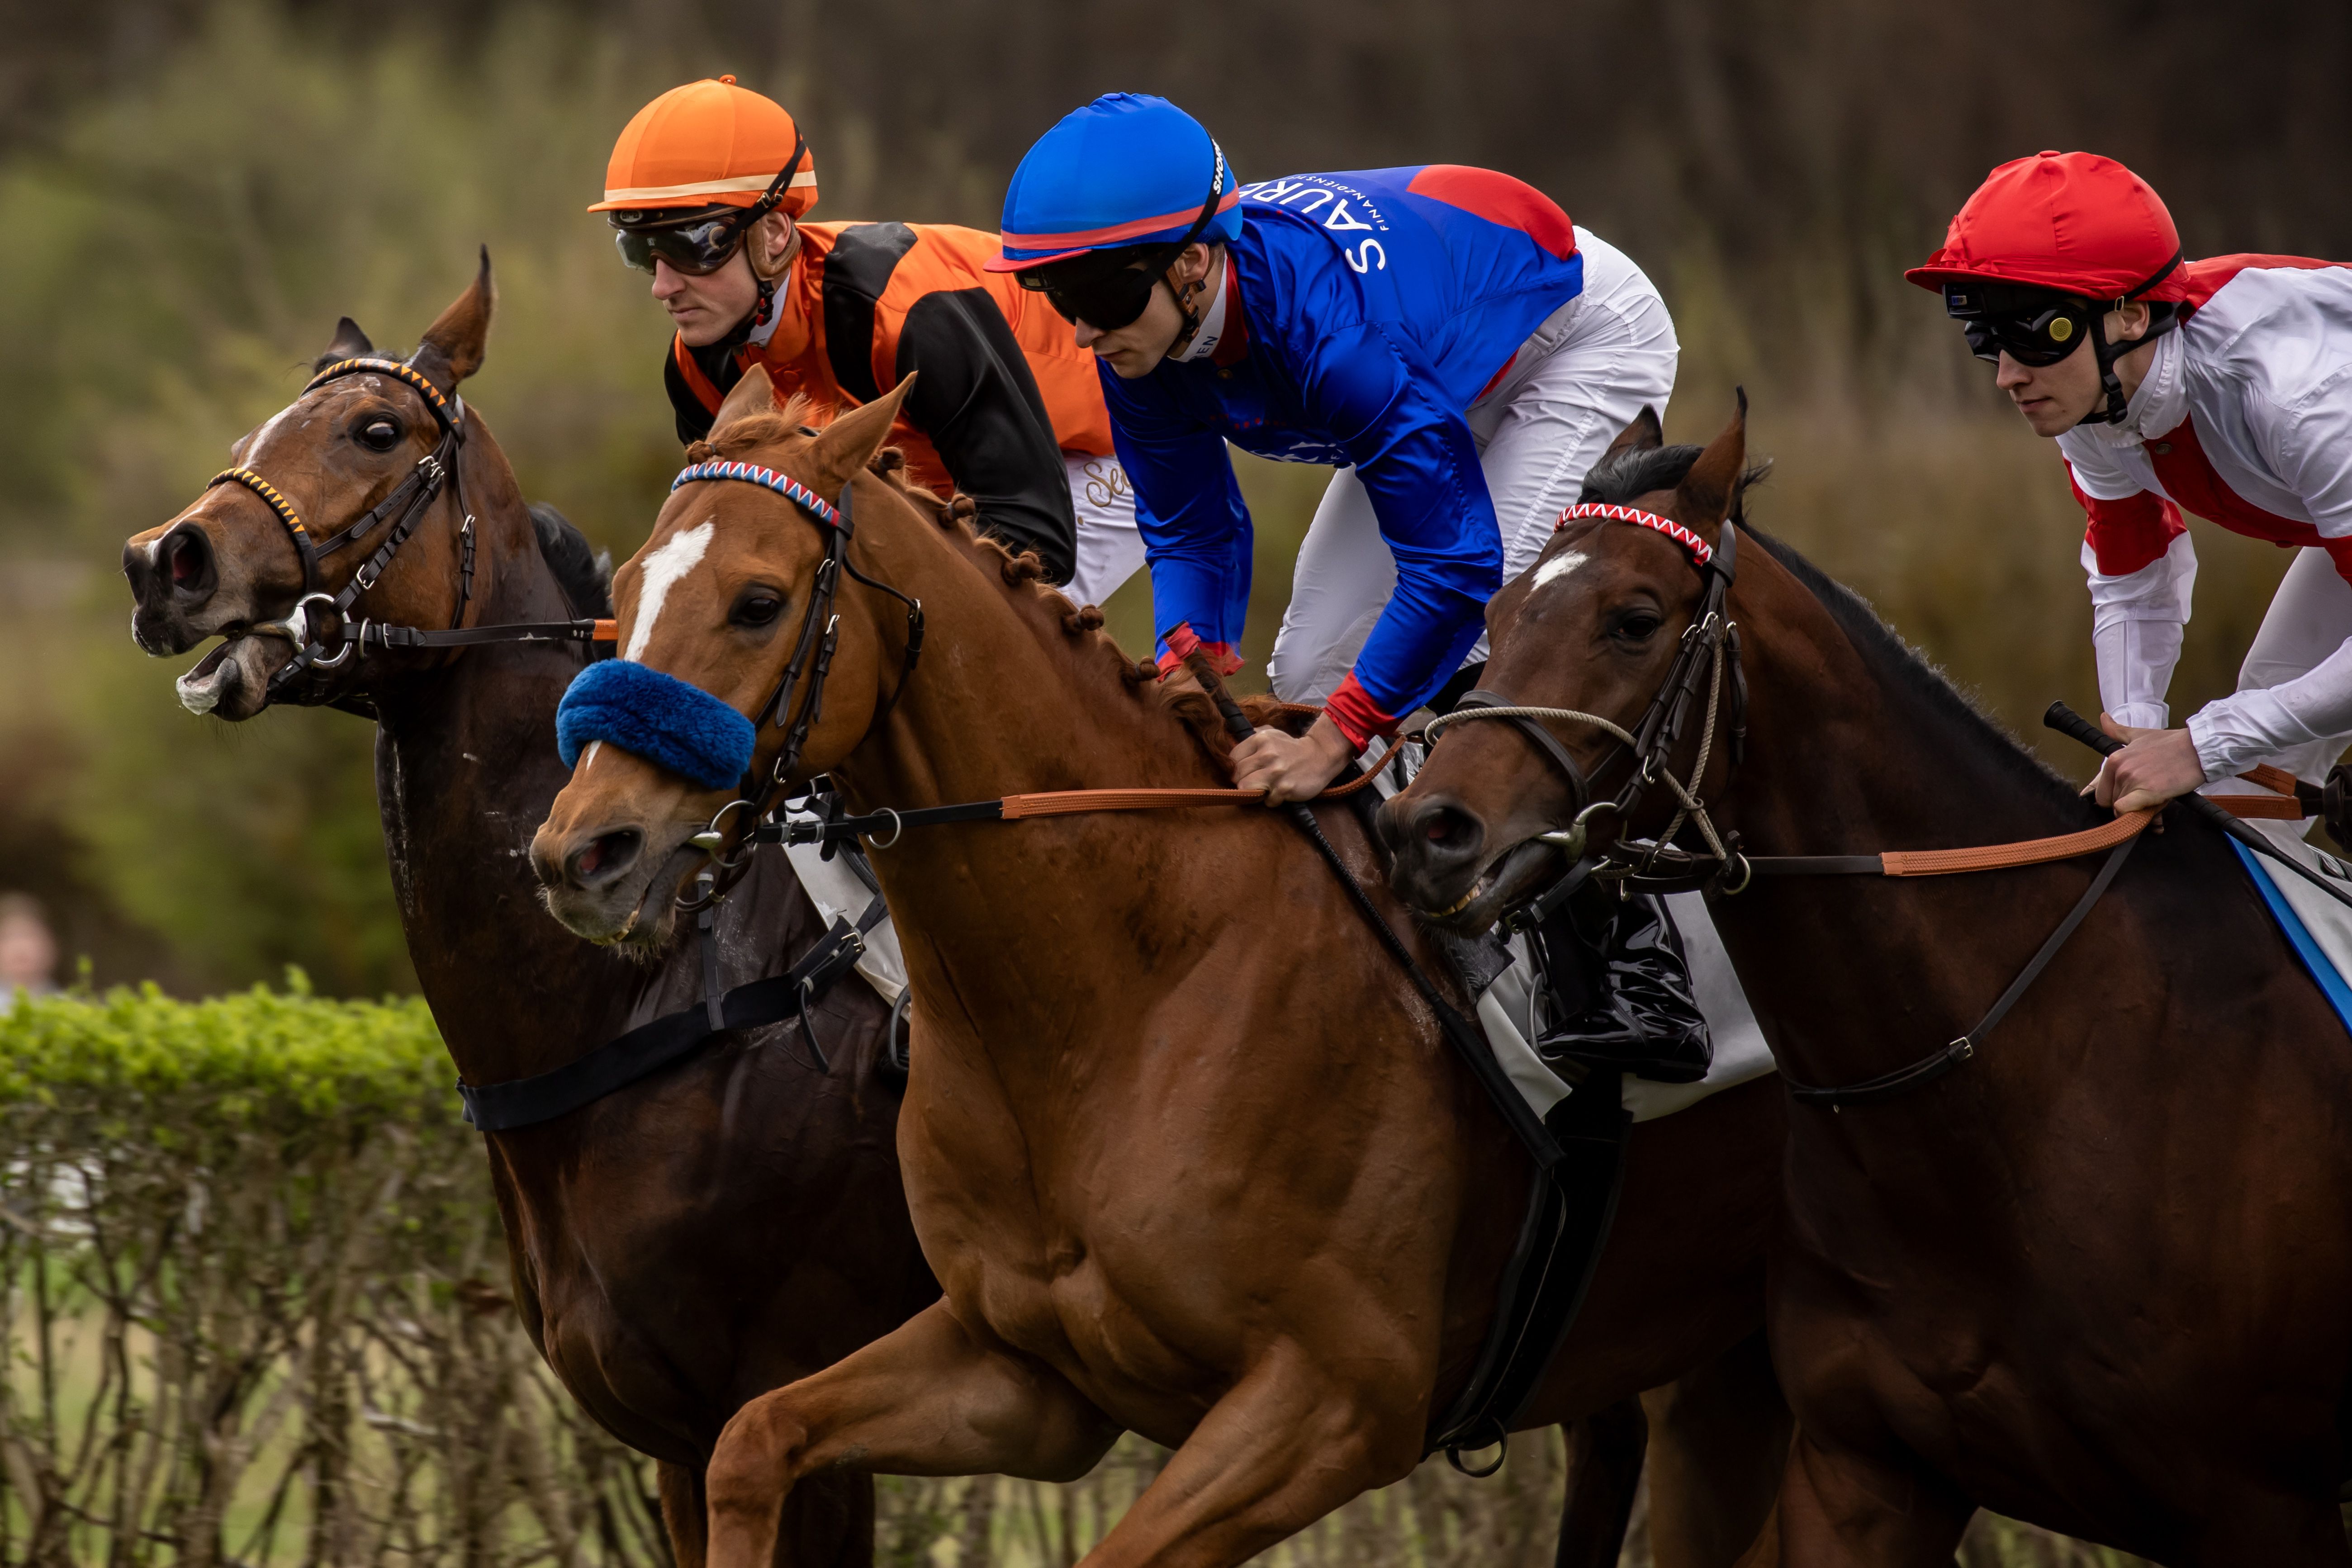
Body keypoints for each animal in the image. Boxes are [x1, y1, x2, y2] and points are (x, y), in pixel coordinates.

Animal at [119, 261, 939, 1567]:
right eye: (250, 433)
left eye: (376, 431)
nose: (165, 561)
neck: (661, 986)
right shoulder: (678, 1439)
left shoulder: (794, 1409)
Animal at [527, 363, 1796, 1568]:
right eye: (625, 591)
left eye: (757, 602)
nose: (582, 850)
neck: (1120, 995)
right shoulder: (1020, 1370)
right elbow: (754, 1441)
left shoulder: (1335, 1402)